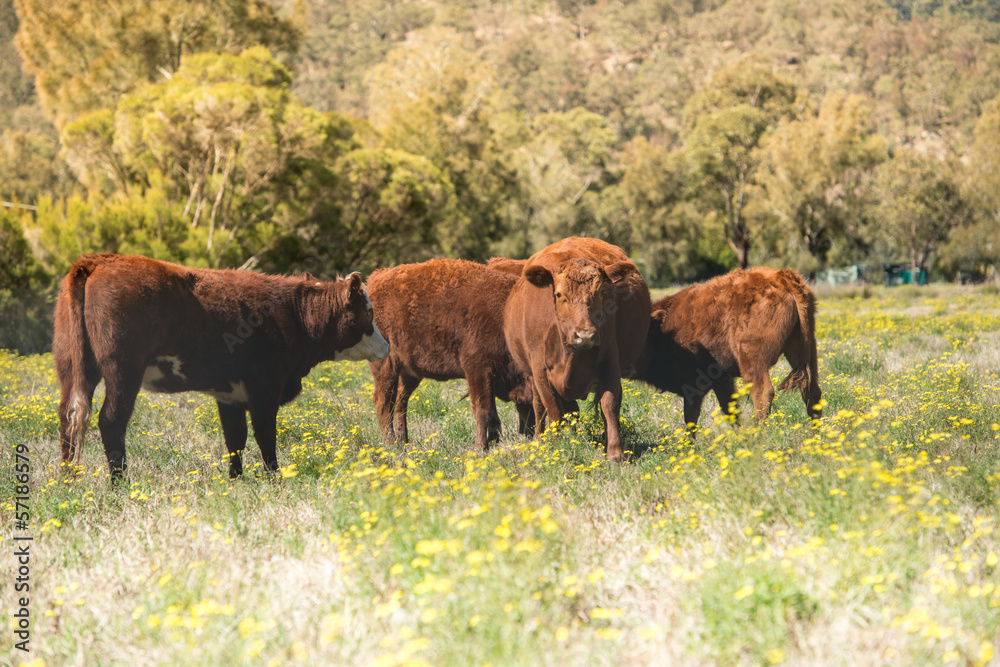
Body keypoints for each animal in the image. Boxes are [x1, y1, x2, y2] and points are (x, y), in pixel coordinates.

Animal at [52, 254, 390, 480]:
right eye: (368, 312)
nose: (386, 347)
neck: (294, 313)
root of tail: (99, 260)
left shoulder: (230, 394)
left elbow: (235, 438)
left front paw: (236, 479)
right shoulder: (265, 388)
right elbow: (265, 435)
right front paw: (275, 478)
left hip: (71, 367)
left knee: (69, 416)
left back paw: (68, 481)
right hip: (123, 371)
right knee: (110, 421)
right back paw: (120, 484)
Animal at [368, 258, 536, 452]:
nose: (531, 433)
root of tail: (376, 278)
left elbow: (492, 414)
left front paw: (492, 443)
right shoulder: (478, 371)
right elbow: (484, 412)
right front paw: (479, 448)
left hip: (409, 372)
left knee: (400, 402)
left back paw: (403, 441)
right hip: (386, 365)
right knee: (384, 401)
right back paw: (390, 444)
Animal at [504, 237, 652, 462]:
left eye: (601, 293)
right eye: (558, 294)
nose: (585, 335)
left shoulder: (611, 362)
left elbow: (610, 404)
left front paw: (615, 452)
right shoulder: (540, 372)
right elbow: (552, 408)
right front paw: (557, 447)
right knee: (539, 405)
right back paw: (539, 439)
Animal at [640, 264, 820, 426]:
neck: (663, 329)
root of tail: (785, 280)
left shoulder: (694, 385)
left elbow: (691, 417)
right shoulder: (721, 379)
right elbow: (730, 410)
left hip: (751, 359)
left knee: (763, 392)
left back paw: (761, 433)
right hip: (803, 349)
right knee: (812, 391)